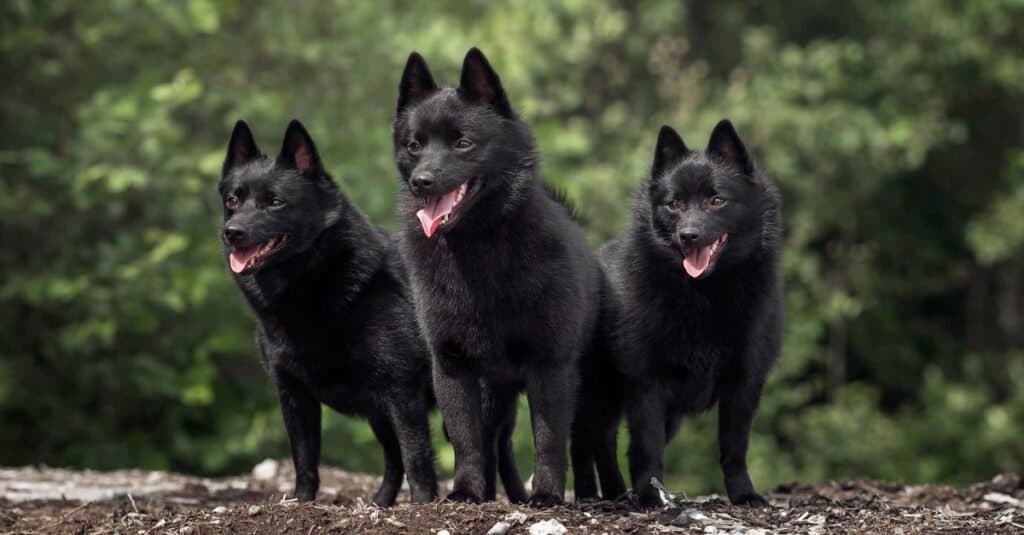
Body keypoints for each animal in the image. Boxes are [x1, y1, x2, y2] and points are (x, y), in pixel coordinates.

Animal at [219, 117, 436, 504]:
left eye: (275, 202)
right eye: (233, 199)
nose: (233, 232)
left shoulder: (403, 391)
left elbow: (417, 455)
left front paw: (423, 505)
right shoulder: (294, 395)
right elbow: (304, 459)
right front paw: (301, 502)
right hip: (379, 414)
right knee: (392, 461)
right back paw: (380, 503)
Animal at [389, 46, 598, 504]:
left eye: (463, 143)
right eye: (414, 145)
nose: (421, 181)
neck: (476, 248)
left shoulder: (550, 366)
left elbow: (548, 439)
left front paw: (547, 494)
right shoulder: (453, 366)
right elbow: (467, 440)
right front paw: (466, 491)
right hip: (493, 390)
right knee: (492, 440)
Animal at [598, 121, 778, 508]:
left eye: (716, 200)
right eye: (674, 204)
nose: (689, 235)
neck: (703, 296)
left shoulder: (744, 384)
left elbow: (734, 449)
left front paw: (744, 494)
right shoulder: (647, 383)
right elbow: (647, 448)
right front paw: (650, 497)